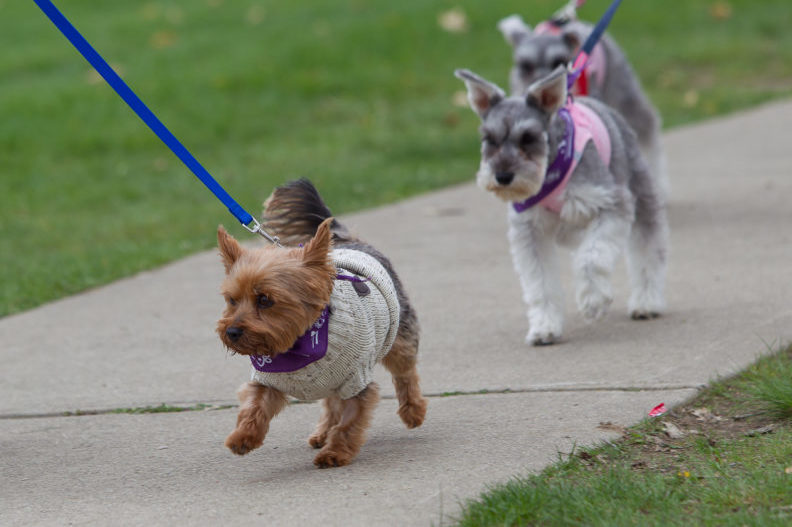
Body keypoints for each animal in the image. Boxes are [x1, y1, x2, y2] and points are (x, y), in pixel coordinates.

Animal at [215, 179, 426, 468]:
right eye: (232, 300)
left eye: (265, 300)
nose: (232, 331)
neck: (297, 345)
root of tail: (350, 241)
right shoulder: (268, 381)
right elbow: (254, 407)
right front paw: (243, 437)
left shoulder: (356, 380)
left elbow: (349, 421)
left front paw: (335, 452)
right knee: (331, 402)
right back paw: (322, 432)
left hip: (398, 337)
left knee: (405, 372)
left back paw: (413, 411)